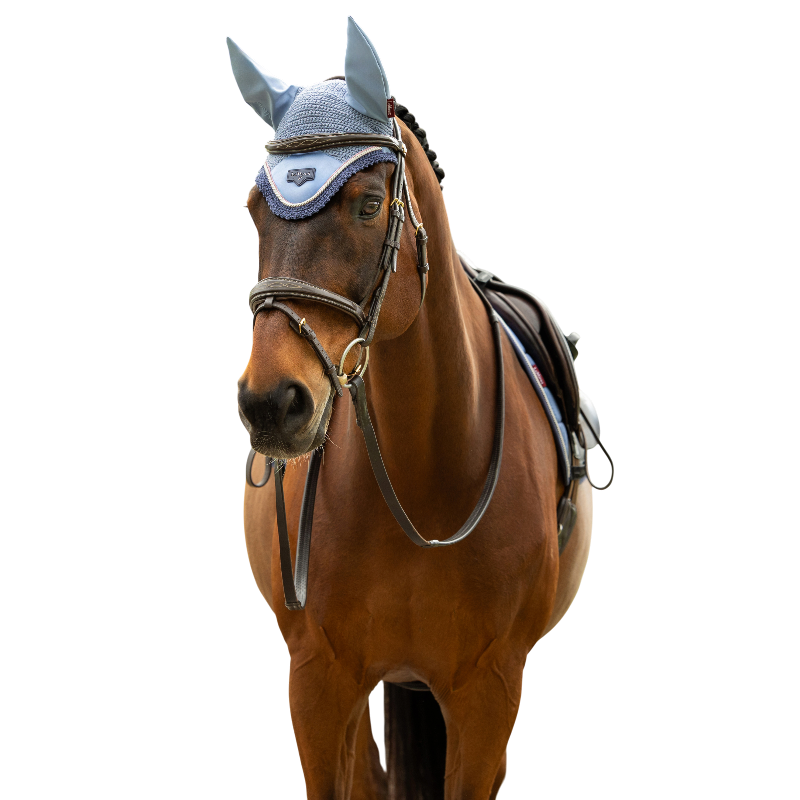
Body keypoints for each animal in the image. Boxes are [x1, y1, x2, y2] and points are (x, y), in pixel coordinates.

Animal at [234, 19, 594, 799]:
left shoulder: (490, 691)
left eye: (369, 204)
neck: (425, 487)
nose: (271, 403)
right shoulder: (317, 681)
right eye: (253, 210)